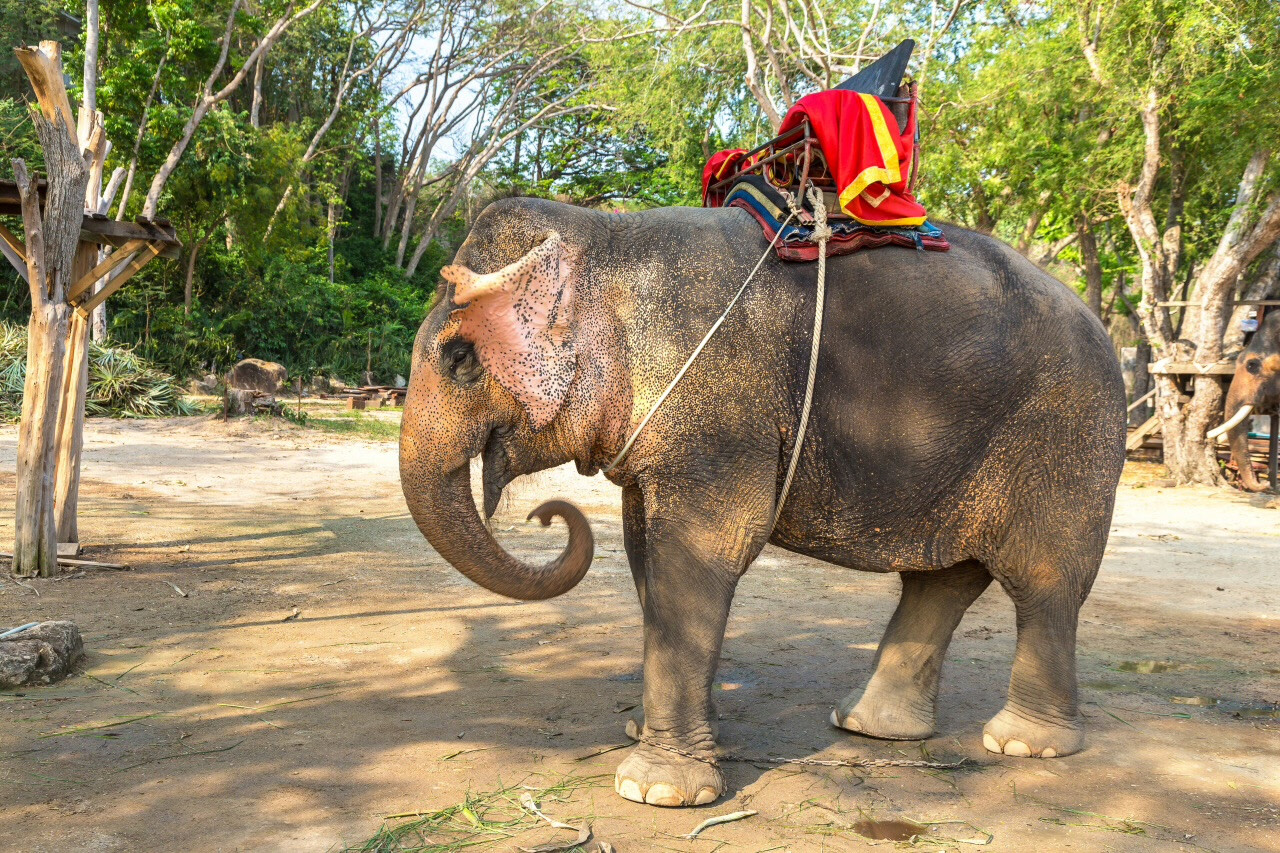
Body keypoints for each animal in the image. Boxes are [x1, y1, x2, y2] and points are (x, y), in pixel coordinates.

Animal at [399, 196, 1127, 808]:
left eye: (460, 358)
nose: (548, 514)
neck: (607, 236)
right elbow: (643, 550)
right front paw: (653, 733)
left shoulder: (720, 410)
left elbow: (703, 550)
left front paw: (655, 789)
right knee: (942, 579)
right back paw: (870, 726)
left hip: (1065, 442)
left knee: (1043, 580)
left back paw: (1023, 743)